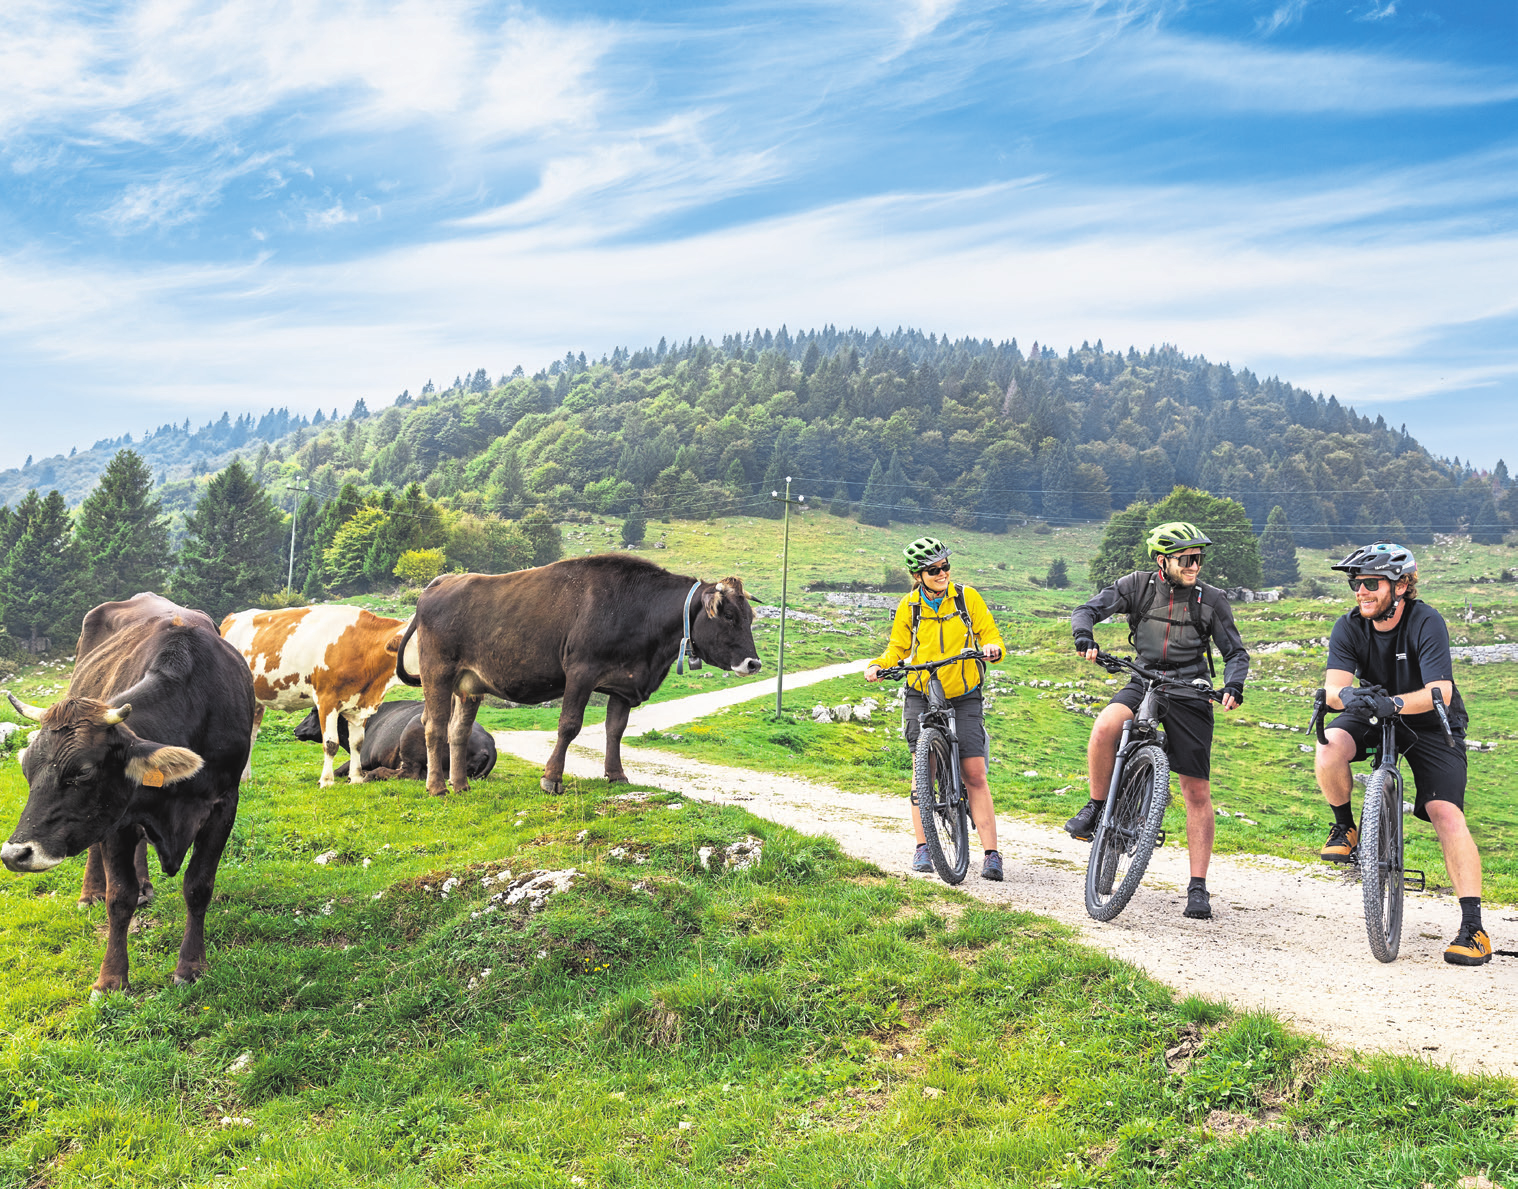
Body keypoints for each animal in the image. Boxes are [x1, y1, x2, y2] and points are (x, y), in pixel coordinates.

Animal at [0, 595, 255, 996]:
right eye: (27, 769)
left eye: (83, 772)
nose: (14, 854)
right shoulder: (117, 818)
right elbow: (119, 897)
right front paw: (111, 978)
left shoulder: (224, 804)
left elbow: (198, 886)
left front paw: (191, 966)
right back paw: (91, 893)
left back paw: (146, 887)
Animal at [397, 552, 765, 795]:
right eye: (728, 615)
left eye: (749, 617)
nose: (753, 664)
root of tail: (443, 581)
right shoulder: (581, 672)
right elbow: (569, 725)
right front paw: (552, 778)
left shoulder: (623, 684)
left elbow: (615, 730)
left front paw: (616, 775)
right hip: (437, 673)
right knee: (434, 726)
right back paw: (437, 787)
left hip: (469, 684)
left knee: (458, 730)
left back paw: (460, 785)